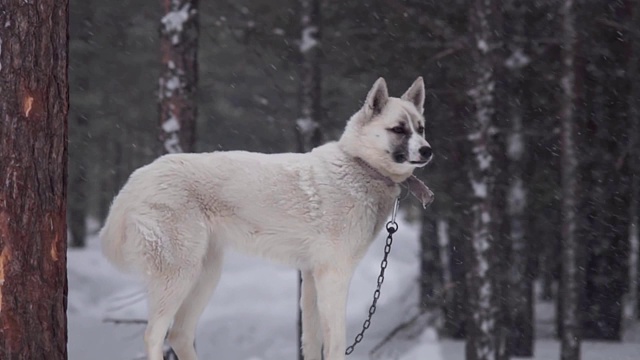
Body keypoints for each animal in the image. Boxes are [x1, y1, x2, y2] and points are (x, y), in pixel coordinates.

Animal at [100, 77, 432, 360]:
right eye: (398, 130)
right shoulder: (332, 276)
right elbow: (335, 343)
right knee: (154, 335)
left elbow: (312, 342)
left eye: (421, 128)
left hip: (205, 275)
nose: (428, 150)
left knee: (179, 334)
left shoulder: (311, 278)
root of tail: (138, 178)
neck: (360, 166)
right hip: (179, 276)